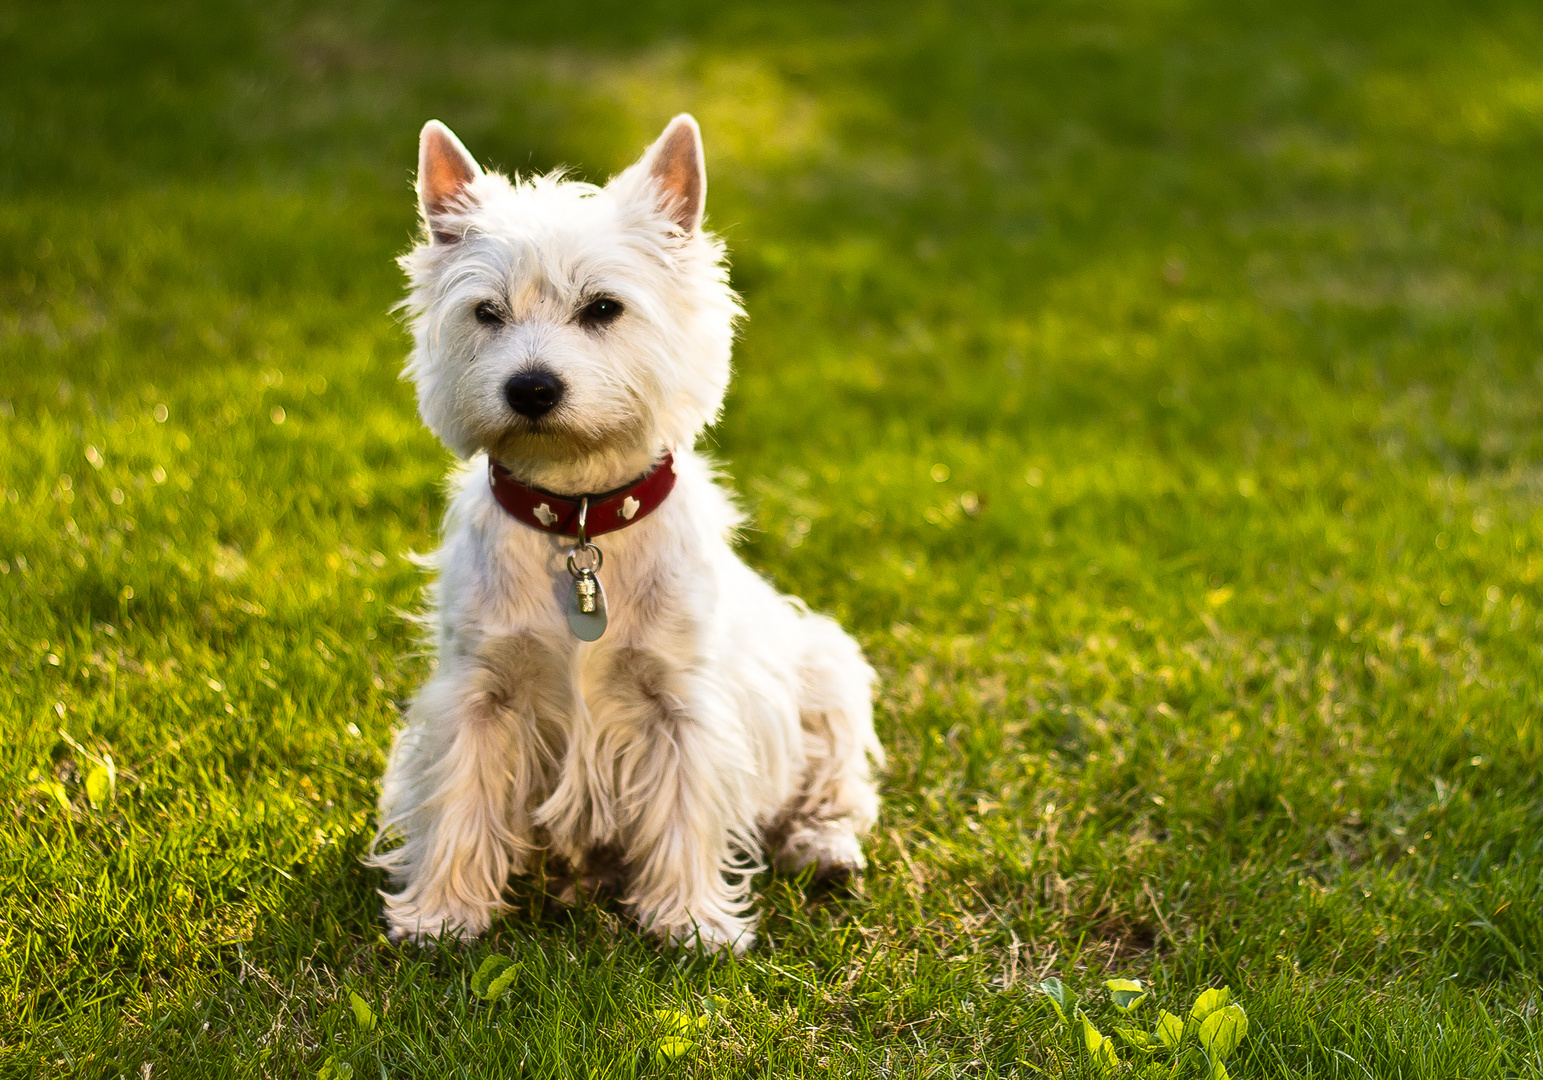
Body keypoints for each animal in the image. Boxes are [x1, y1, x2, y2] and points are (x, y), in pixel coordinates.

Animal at [362, 114, 888, 950]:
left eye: (603, 309)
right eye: (487, 313)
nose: (531, 388)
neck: (580, 517)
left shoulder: (681, 698)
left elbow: (684, 805)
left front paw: (690, 921)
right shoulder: (478, 690)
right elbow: (459, 796)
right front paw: (442, 912)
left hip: (828, 665)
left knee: (839, 781)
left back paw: (821, 846)